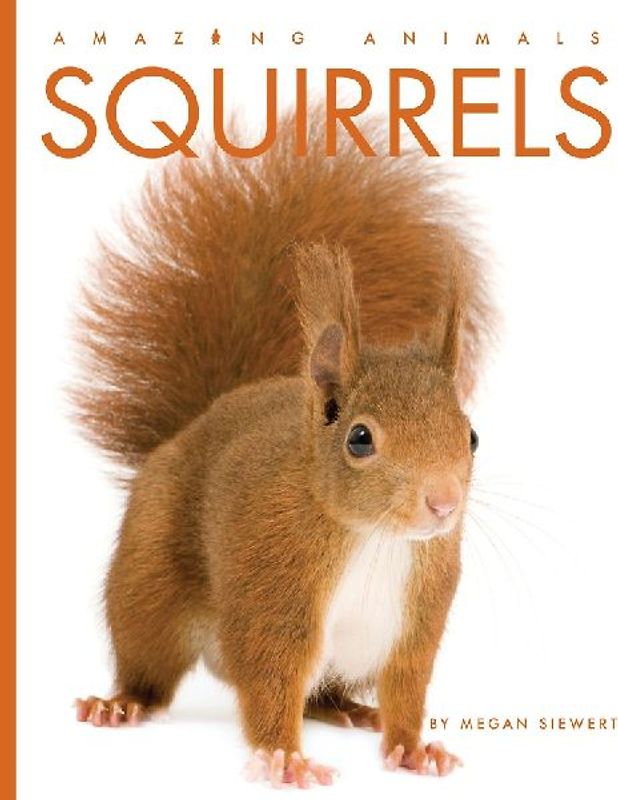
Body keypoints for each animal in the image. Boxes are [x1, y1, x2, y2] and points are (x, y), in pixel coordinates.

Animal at [73, 112, 494, 787]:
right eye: (360, 438)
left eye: (472, 436)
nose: (443, 503)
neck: (373, 538)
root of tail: (202, 419)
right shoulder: (273, 587)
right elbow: (270, 678)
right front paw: (283, 758)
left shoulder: (418, 618)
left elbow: (407, 687)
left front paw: (413, 748)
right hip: (148, 585)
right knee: (150, 665)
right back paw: (121, 703)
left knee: (324, 691)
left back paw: (349, 708)